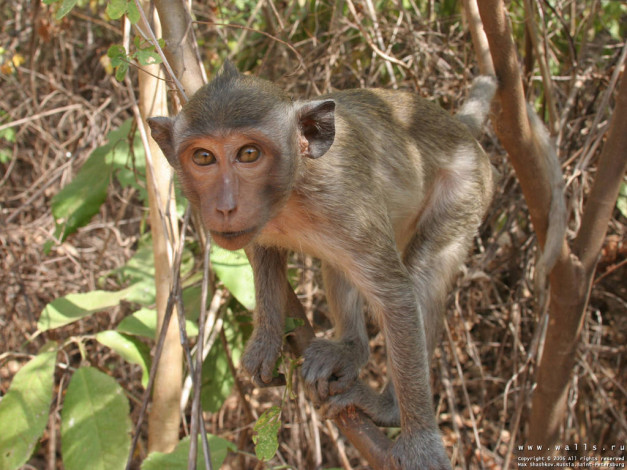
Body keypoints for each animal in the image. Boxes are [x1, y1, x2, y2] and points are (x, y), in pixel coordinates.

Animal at [147, 63, 496, 470]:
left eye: (248, 153)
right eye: (203, 158)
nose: (224, 206)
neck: (294, 188)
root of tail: (459, 131)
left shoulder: (345, 201)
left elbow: (397, 296)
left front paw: (420, 441)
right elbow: (264, 255)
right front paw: (267, 338)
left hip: (466, 191)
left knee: (422, 276)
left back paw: (389, 408)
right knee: (339, 267)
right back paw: (351, 349)